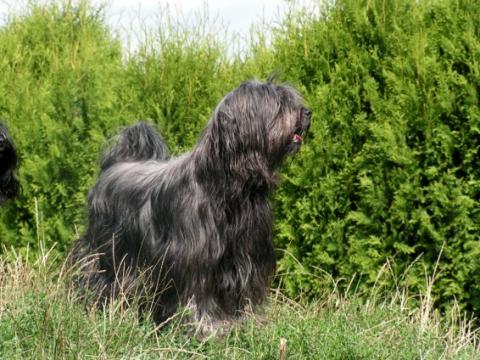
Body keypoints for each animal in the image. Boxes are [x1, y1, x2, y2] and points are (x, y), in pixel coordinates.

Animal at [71, 79, 312, 334]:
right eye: (280, 105)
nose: (308, 113)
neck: (228, 189)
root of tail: (114, 167)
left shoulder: (245, 256)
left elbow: (241, 291)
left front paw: (245, 324)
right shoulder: (195, 257)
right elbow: (198, 295)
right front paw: (207, 328)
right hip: (109, 252)